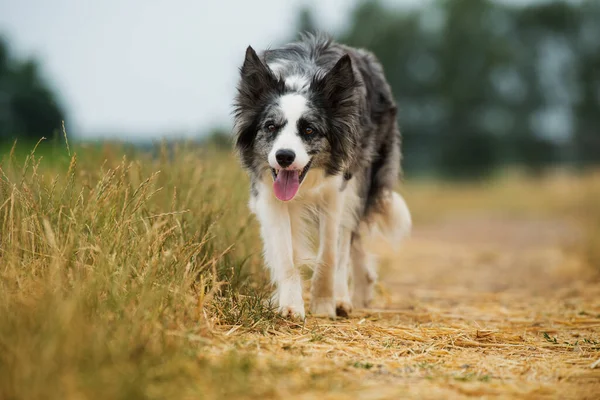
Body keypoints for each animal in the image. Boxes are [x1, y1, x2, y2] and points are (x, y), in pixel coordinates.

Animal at [232, 34, 410, 320]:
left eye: (309, 130)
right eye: (270, 126)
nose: (284, 156)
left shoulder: (336, 192)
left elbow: (329, 254)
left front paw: (324, 303)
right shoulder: (268, 194)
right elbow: (286, 253)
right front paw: (290, 304)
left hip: (360, 182)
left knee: (348, 239)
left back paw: (348, 296)